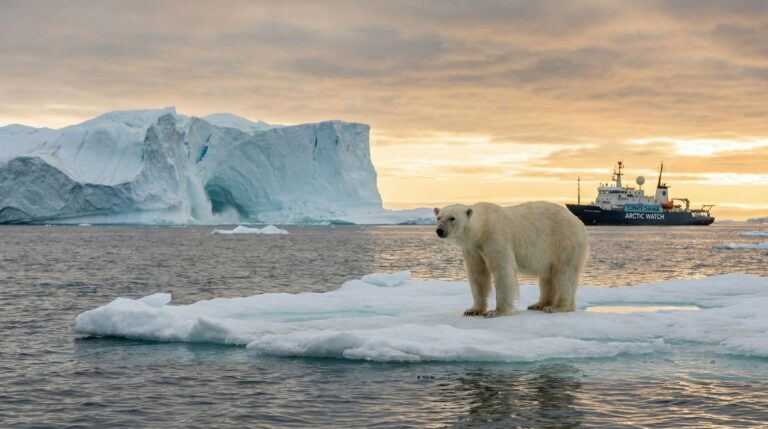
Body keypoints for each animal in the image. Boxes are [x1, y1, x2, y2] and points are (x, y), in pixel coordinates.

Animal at [434, 201, 588, 317]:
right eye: (439, 217)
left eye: (452, 218)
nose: (439, 230)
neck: (482, 228)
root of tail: (579, 222)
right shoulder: (472, 249)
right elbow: (477, 275)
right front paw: (473, 310)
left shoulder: (495, 238)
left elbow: (502, 270)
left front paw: (496, 311)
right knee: (547, 277)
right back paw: (539, 304)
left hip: (564, 241)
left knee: (564, 273)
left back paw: (557, 307)